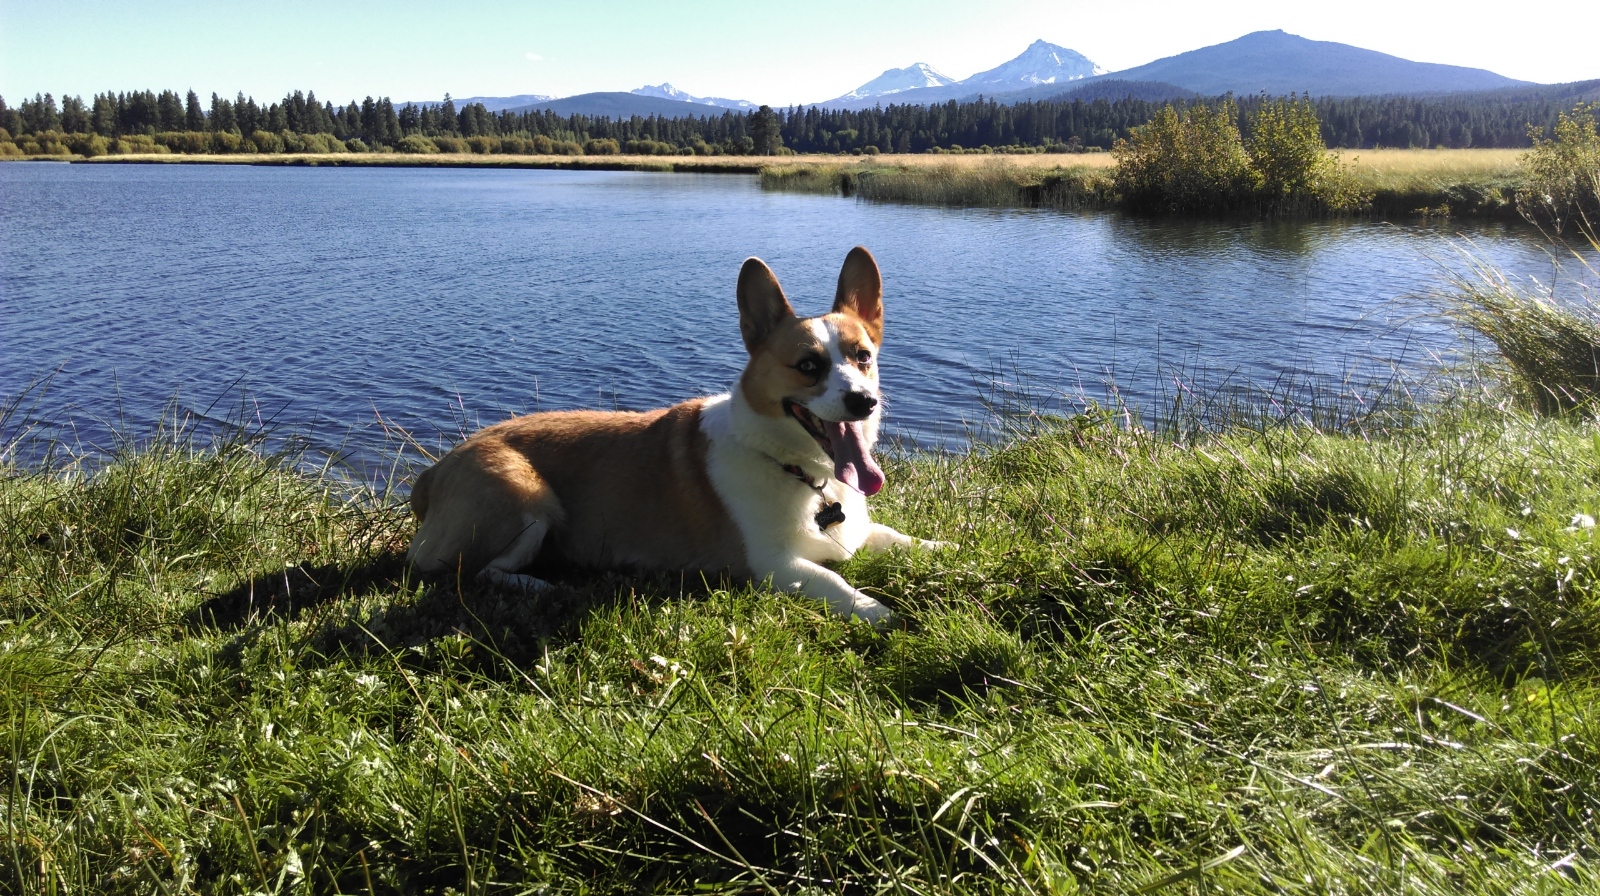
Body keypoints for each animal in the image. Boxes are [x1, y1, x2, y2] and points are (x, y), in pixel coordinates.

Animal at [406, 244, 940, 624]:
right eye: (809, 366)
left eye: (863, 357)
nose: (864, 402)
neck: (799, 470)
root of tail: (433, 472)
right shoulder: (774, 566)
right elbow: (838, 585)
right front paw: (884, 613)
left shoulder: (860, 533)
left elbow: (907, 540)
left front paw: (949, 555)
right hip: (525, 497)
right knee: (471, 573)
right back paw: (541, 585)